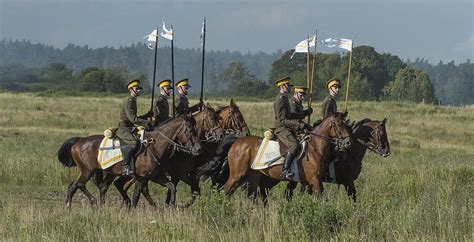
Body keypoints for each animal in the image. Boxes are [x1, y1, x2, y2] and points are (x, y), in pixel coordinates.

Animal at [56, 115, 201, 208]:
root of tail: (79, 141)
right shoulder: (141, 178)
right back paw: (94, 202)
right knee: (80, 184)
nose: (198, 149)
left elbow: (171, 186)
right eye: (191, 130)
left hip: (104, 172)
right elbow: (137, 195)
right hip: (88, 171)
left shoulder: (155, 176)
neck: (154, 146)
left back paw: (72, 207)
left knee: (78, 186)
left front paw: (170, 205)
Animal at [220, 112, 350, 202]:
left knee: (248, 196)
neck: (314, 148)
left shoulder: (309, 183)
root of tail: (236, 142)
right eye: (339, 124)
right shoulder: (315, 180)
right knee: (226, 190)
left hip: (252, 176)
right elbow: (322, 200)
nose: (348, 143)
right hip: (237, 175)